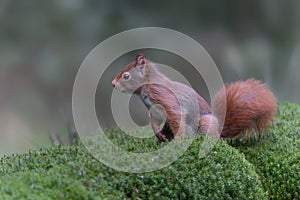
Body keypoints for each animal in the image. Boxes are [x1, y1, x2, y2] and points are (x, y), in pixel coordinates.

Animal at [112, 52, 276, 141]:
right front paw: (158, 135)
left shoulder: (165, 98)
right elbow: (154, 123)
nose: (113, 84)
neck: (147, 85)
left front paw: (178, 140)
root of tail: (220, 130)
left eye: (126, 76)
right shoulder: (154, 110)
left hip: (205, 124)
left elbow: (176, 115)